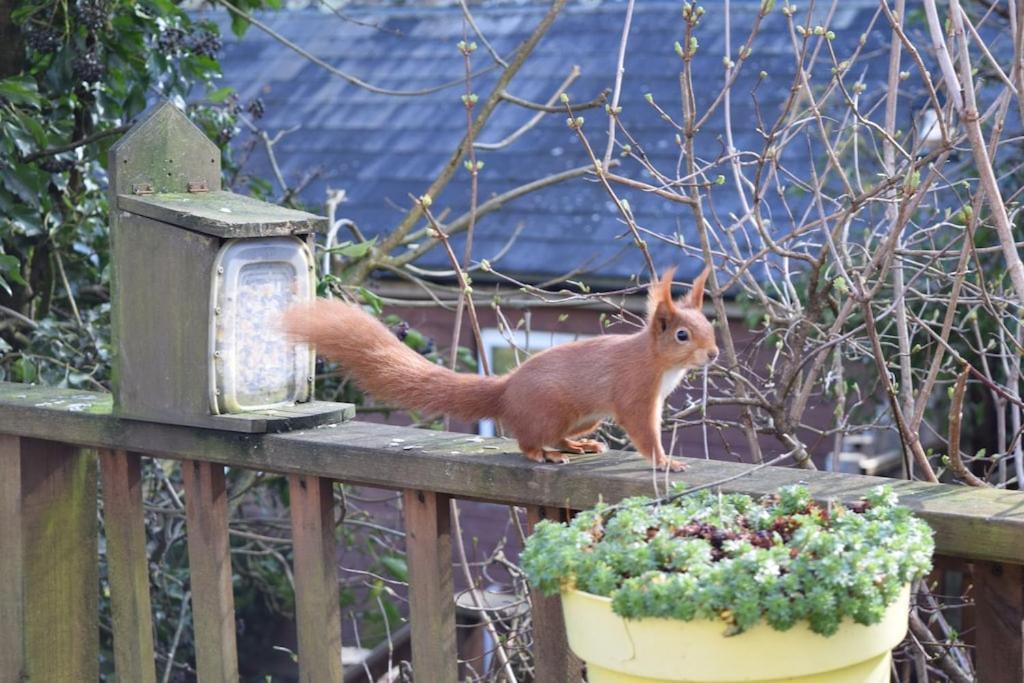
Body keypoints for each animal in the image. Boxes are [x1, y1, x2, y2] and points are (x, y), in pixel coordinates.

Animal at [284, 266, 720, 471]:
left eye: (709, 325)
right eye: (682, 335)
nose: (714, 354)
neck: (656, 362)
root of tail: (506, 391)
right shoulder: (635, 391)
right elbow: (643, 431)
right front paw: (665, 462)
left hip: (583, 417)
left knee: (557, 436)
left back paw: (577, 445)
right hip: (551, 409)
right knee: (528, 441)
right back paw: (545, 455)